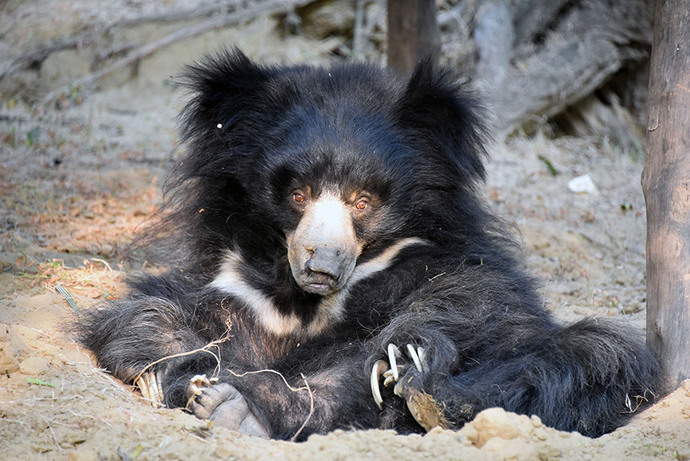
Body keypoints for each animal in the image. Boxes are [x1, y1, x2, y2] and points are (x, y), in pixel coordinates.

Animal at [76, 49, 660, 440]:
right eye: (297, 193)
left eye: (362, 201)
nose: (321, 264)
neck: (303, 302)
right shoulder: (230, 278)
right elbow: (145, 314)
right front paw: (176, 369)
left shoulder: (429, 255)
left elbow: (483, 300)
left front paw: (407, 352)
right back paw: (231, 407)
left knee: (593, 356)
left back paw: (425, 397)